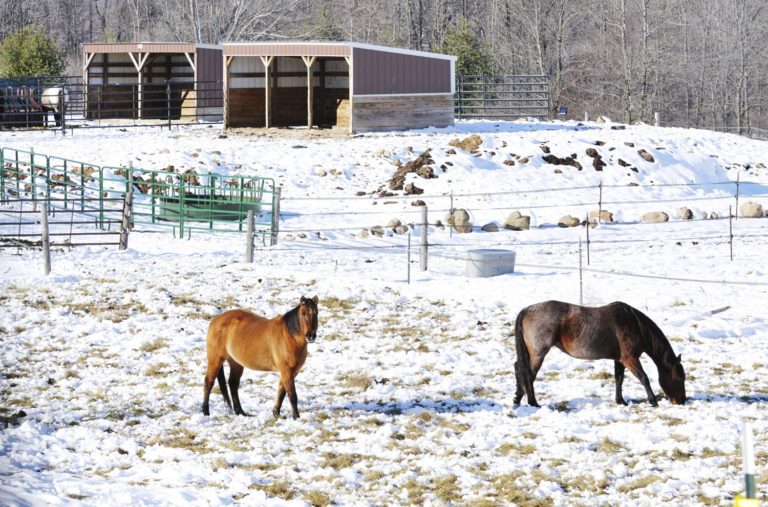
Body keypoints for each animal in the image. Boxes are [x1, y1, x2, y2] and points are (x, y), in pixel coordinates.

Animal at [514, 300, 686, 407]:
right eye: (679, 377)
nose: (682, 401)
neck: (635, 325)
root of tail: (528, 310)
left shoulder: (619, 359)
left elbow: (619, 379)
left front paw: (620, 401)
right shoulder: (630, 358)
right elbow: (644, 378)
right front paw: (653, 401)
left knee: (519, 369)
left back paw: (518, 398)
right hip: (538, 354)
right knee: (528, 374)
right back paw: (533, 402)